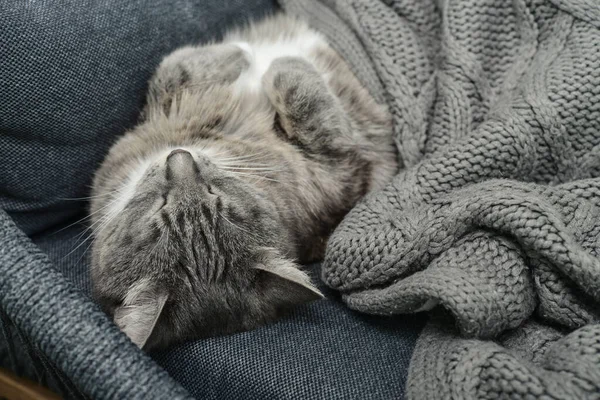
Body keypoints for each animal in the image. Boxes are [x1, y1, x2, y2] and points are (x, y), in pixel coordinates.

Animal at [90, 14, 398, 348]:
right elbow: (288, 84)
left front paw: (243, 54)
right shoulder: (339, 170)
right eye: (162, 207)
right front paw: (255, 54)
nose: (179, 159)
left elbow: (173, 70)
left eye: (217, 198)